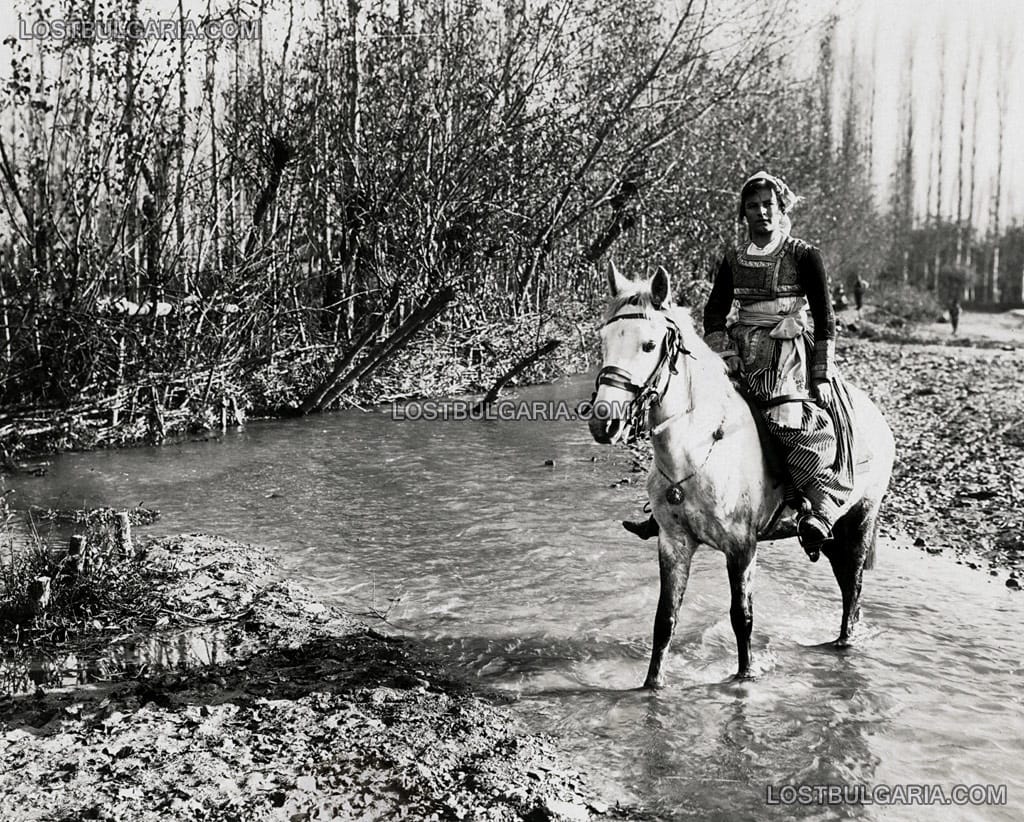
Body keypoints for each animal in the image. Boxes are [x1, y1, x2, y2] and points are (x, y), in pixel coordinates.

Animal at [589, 266, 892, 687]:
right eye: (603, 341)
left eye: (649, 345)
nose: (604, 423)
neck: (698, 450)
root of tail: (878, 419)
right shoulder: (673, 543)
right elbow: (665, 621)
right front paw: (652, 685)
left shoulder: (742, 548)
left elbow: (741, 618)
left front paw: (745, 679)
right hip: (835, 536)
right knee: (849, 585)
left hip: (860, 520)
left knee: (853, 588)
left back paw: (845, 644)